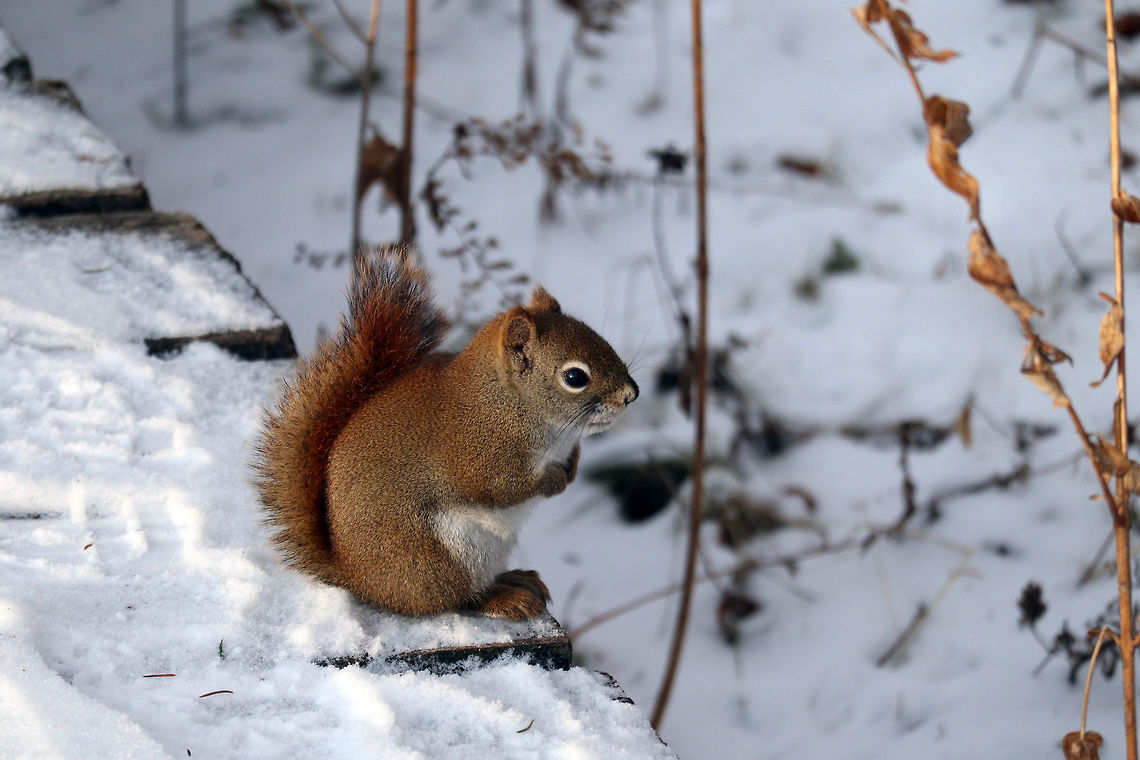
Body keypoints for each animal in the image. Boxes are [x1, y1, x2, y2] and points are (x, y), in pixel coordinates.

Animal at [255, 247, 638, 620]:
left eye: (602, 341)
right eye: (575, 377)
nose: (631, 394)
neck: (510, 402)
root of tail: (361, 580)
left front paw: (572, 467)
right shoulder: (478, 453)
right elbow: (502, 487)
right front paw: (555, 480)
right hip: (440, 557)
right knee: (454, 600)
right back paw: (501, 598)